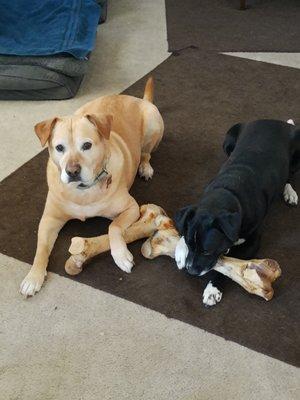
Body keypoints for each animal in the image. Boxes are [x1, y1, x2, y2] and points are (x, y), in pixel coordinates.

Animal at [175, 119, 298, 306]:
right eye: (190, 244)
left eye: (207, 251)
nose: (191, 272)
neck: (228, 191)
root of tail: (278, 122)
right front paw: (180, 252)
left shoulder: (252, 243)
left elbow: (229, 268)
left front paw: (213, 289)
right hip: (228, 139)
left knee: (290, 175)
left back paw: (289, 192)